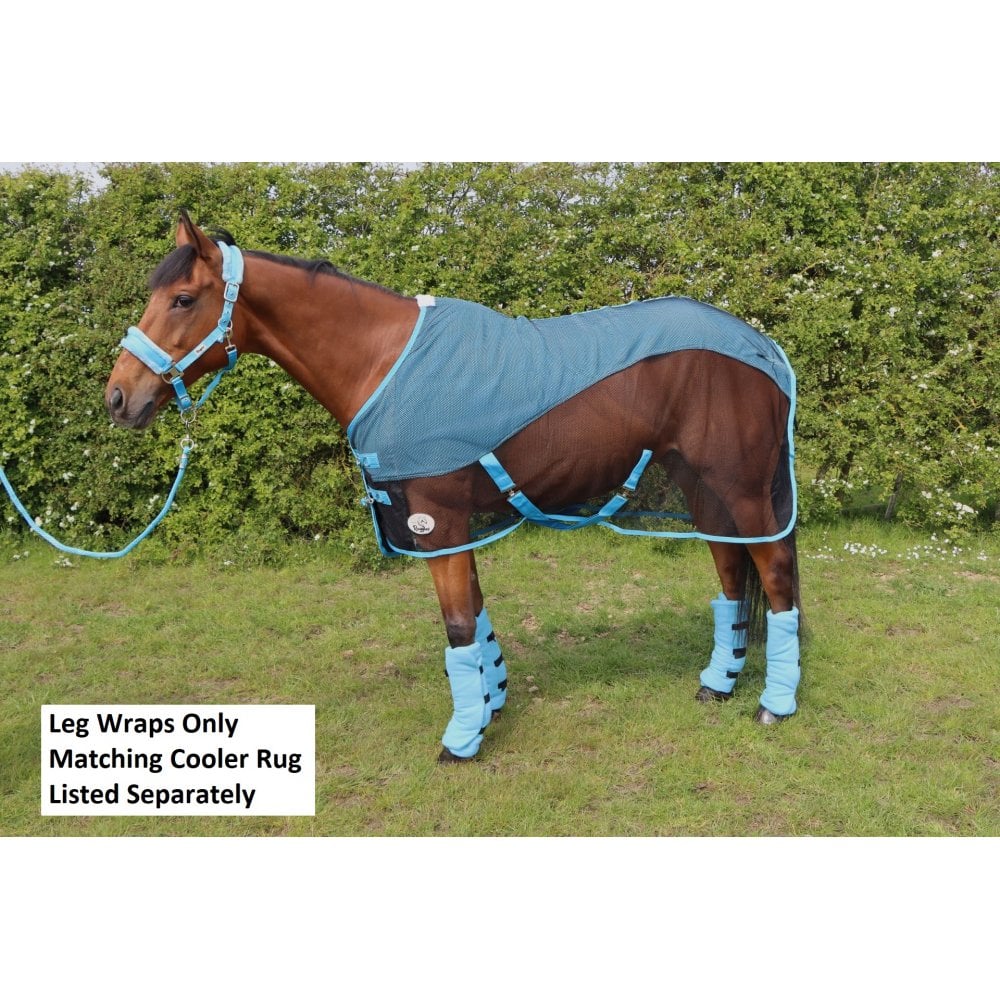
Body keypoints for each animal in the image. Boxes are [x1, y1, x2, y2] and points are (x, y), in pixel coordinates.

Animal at [106, 211, 803, 762]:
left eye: (183, 299)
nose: (119, 398)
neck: (387, 364)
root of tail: (762, 346)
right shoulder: (455, 529)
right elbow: (479, 621)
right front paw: (490, 706)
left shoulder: (436, 523)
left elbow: (459, 628)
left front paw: (462, 740)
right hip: (701, 491)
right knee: (731, 578)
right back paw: (718, 683)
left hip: (742, 491)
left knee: (775, 577)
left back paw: (775, 704)